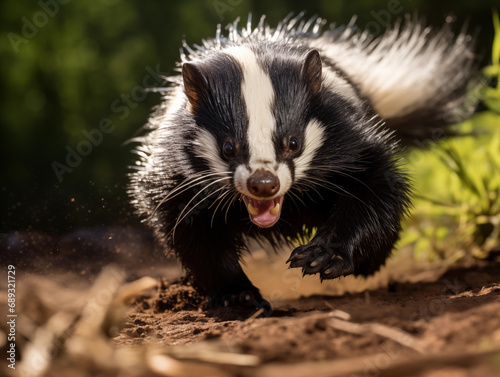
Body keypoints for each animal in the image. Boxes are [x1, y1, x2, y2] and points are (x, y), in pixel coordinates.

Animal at [128, 13, 476, 308]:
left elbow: (374, 185)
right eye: (228, 148)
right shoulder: (177, 170)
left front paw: (324, 256)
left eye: (293, 143)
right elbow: (189, 227)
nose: (263, 183)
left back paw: (368, 264)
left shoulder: (348, 139)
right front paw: (236, 294)